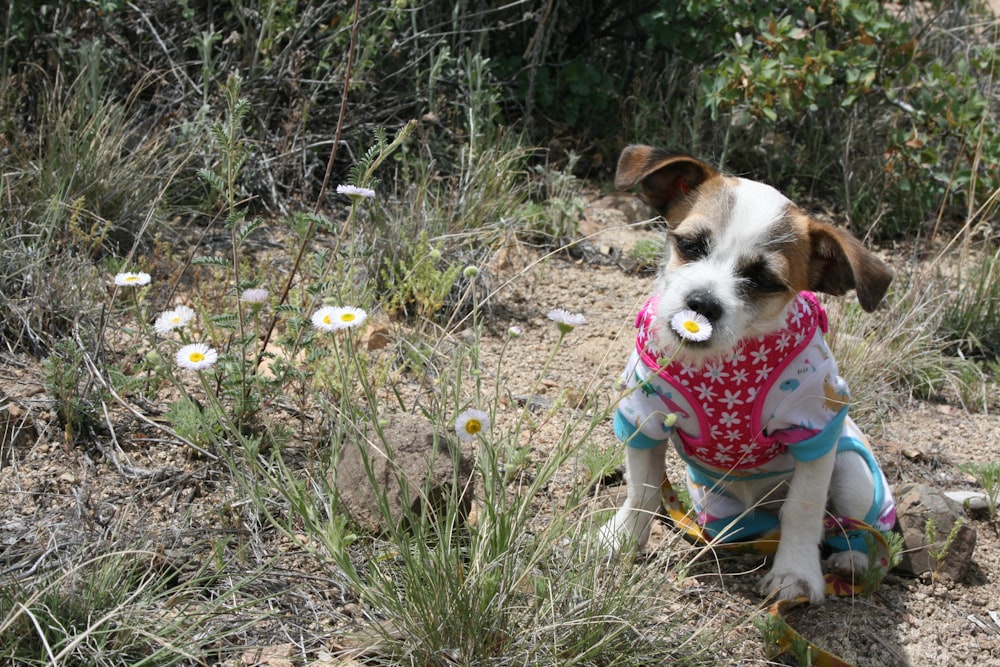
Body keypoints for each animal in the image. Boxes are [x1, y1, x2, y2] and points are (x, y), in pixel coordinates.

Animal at [600, 146, 900, 604]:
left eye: (762, 278)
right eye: (690, 244)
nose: (702, 303)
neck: (722, 364)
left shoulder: (814, 430)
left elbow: (803, 509)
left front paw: (796, 573)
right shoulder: (643, 416)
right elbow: (643, 489)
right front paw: (622, 540)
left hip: (852, 469)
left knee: (851, 526)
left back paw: (852, 559)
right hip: (716, 503)